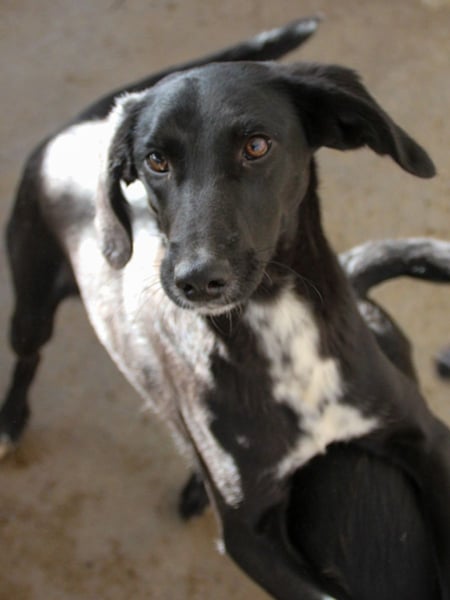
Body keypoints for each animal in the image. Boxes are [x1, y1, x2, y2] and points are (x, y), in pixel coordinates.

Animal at [1, 18, 450, 600]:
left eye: (256, 146)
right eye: (156, 160)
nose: (195, 279)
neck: (275, 317)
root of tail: (80, 125)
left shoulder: (424, 437)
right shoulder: (247, 536)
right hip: (30, 302)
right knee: (28, 355)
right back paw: (11, 420)